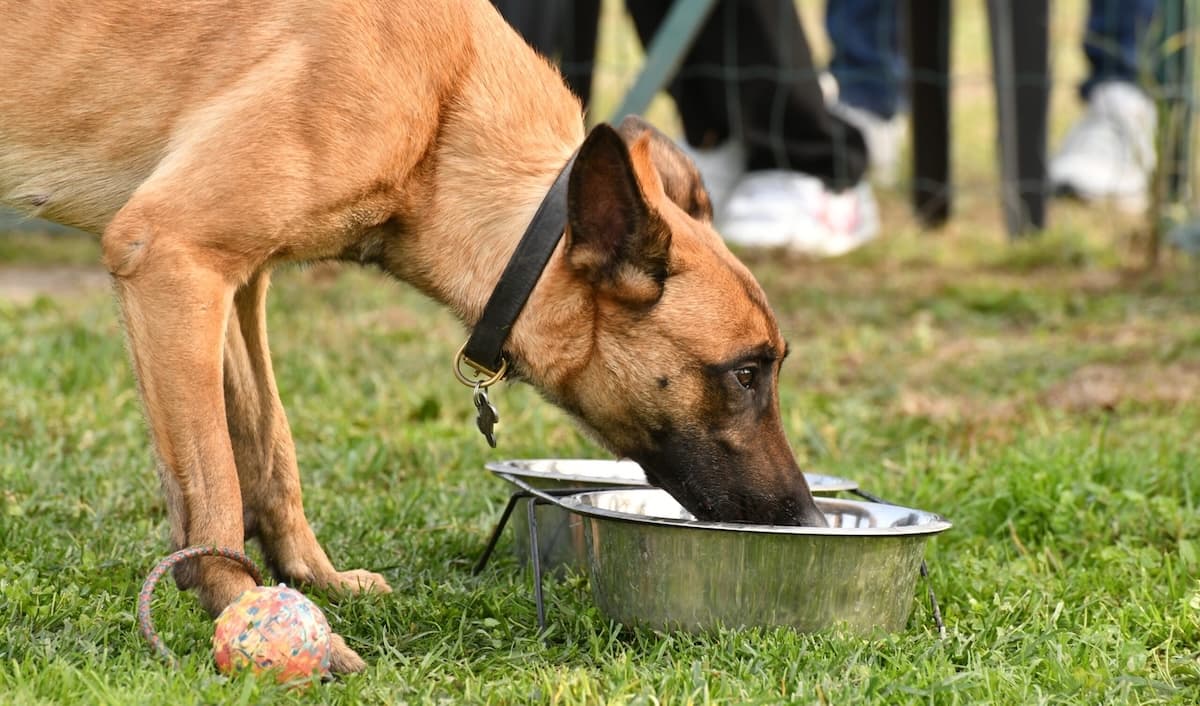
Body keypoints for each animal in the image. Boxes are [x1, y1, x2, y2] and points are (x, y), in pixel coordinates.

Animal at [0, 0, 825, 672]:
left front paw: (313, 578)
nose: (810, 520)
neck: (442, 107)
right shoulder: (171, 257)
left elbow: (269, 448)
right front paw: (240, 605)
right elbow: (215, 485)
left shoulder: (239, 284)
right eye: (745, 374)